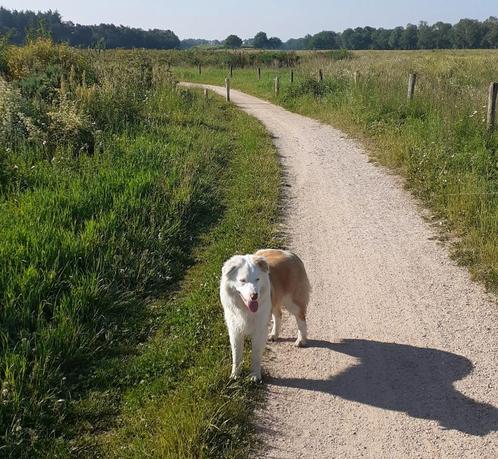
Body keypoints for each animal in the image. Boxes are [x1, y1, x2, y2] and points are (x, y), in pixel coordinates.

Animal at [220, 250, 310, 382]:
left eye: (257, 279)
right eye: (242, 280)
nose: (254, 296)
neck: (245, 310)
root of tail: (290, 253)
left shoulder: (259, 330)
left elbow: (256, 355)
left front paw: (255, 376)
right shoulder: (235, 330)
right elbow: (236, 356)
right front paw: (234, 376)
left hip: (292, 302)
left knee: (301, 318)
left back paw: (301, 340)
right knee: (279, 315)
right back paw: (274, 335)